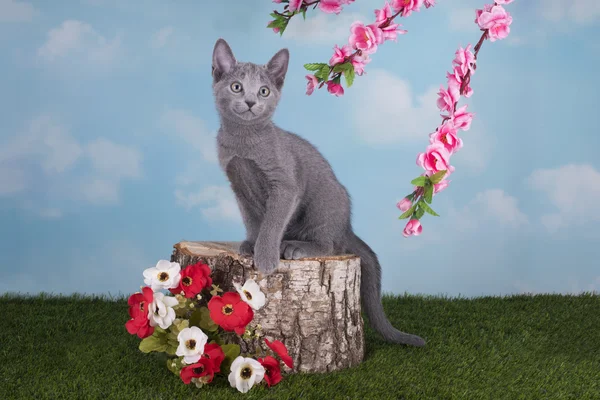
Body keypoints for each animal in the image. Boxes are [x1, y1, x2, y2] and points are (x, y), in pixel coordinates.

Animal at [211, 39, 426, 348]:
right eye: (237, 86)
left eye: (264, 90)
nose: (252, 101)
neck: (244, 143)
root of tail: (347, 226)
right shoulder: (238, 186)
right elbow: (253, 220)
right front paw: (251, 244)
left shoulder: (285, 185)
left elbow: (272, 222)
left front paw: (266, 256)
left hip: (325, 200)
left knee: (330, 244)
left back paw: (295, 246)